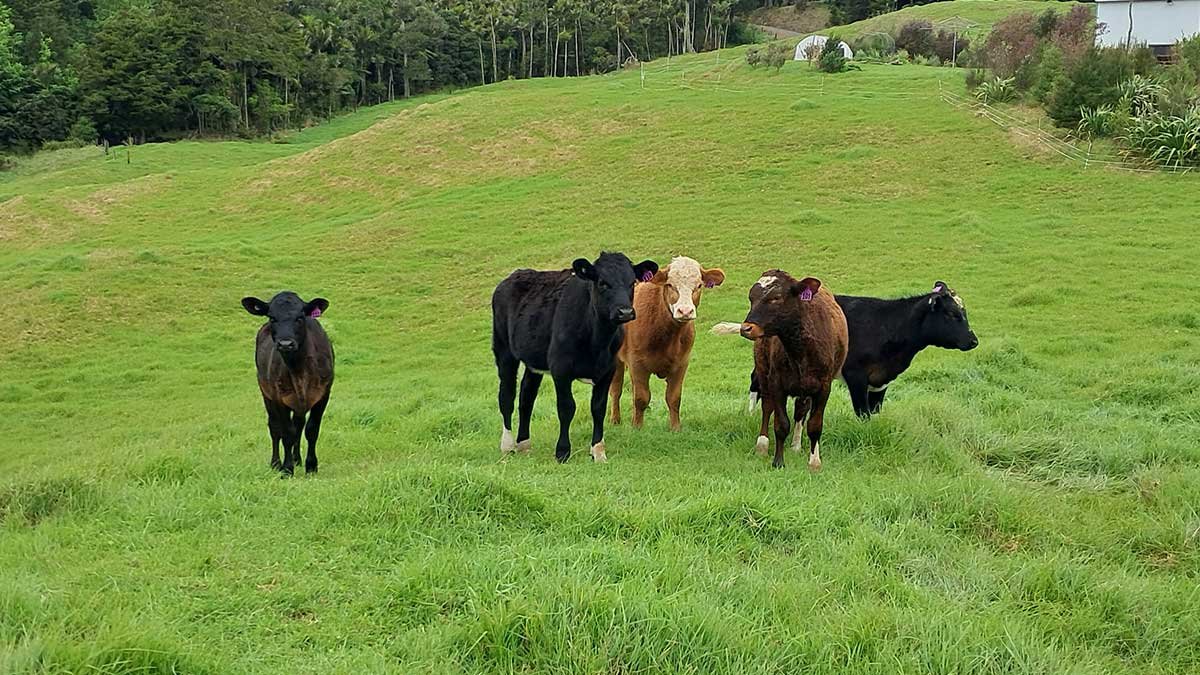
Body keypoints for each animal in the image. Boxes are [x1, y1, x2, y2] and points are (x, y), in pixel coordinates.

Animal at [240, 289, 333, 473]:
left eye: (300, 317)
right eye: (272, 317)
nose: (285, 344)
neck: (299, 372)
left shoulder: (324, 394)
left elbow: (311, 430)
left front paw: (311, 466)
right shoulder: (278, 397)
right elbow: (287, 433)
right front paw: (287, 469)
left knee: (299, 425)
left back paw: (297, 459)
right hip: (266, 393)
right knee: (275, 428)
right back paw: (276, 463)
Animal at [489, 252, 662, 461]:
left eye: (632, 283)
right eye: (603, 283)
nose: (625, 312)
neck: (597, 341)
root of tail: (514, 275)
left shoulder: (608, 370)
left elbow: (598, 408)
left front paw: (598, 451)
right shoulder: (560, 369)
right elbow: (566, 408)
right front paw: (562, 452)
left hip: (534, 361)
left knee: (526, 397)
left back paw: (524, 444)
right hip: (504, 350)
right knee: (507, 395)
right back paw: (507, 446)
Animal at [609, 254, 720, 427]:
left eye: (699, 285)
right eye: (670, 285)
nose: (685, 311)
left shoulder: (681, 364)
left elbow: (674, 398)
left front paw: (675, 428)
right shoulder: (637, 363)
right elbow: (641, 398)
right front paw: (637, 428)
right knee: (616, 389)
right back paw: (615, 419)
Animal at [734, 267, 849, 468]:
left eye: (776, 297)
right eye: (751, 297)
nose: (746, 328)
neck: (800, 349)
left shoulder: (824, 386)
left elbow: (814, 425)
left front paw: (814, 461)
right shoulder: (777, 383)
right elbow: (781, 424)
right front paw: (778, 462)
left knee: (800, 411)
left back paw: (796, 445)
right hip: (763, 371)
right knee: (767, 407)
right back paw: (762, 445)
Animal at [748, 278, 974, 415]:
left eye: (964, 313)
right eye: (952, 314)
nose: (974, 341)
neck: (888, 325)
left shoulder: (881, 381)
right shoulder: (856, 375)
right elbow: (863, 413)